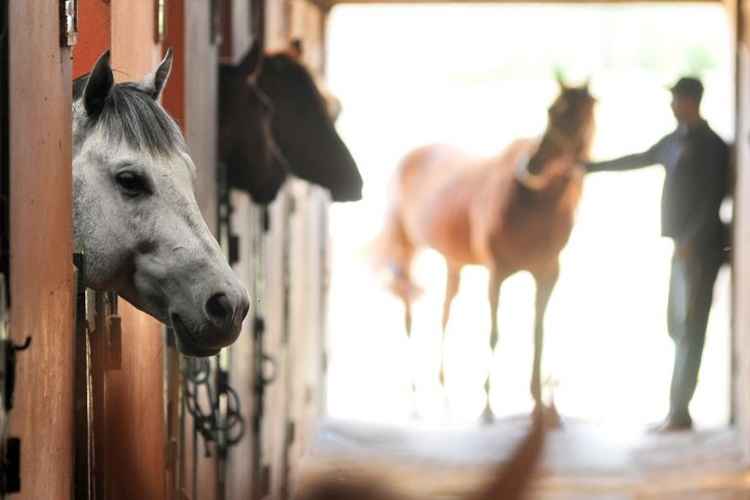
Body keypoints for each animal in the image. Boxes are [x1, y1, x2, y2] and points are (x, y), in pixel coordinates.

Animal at [378, 78, 596, 422]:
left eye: (578, 117)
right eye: (551, 111)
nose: (534, 165)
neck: (533, 204)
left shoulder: (549, 273)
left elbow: (538, 332)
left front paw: (537, 400)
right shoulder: (497, 272)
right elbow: (494, 334)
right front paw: (487, 407)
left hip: (452, 261)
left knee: (444, 313)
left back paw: (443, 389)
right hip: (405, 248)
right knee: (409, 315)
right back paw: (414, 399)